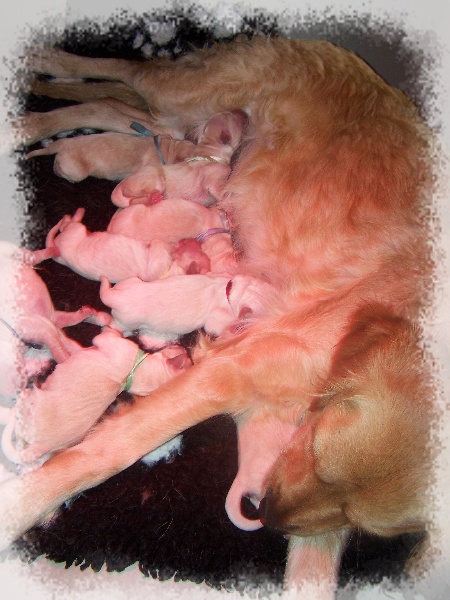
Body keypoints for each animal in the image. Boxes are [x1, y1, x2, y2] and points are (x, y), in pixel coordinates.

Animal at [0, 328, 190, 464]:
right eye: (188, 357)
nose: (184, 346)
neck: (132, 374)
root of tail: (41, 448)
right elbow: (79, 348)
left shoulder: (110, 344)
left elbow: (105, 336)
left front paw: (108, 327)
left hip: (30, 401)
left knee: (14, 413)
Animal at [44, 207, 210, 282]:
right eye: (201, 250)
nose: (195, 240)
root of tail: (58, 253)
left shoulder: (156, 265)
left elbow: (159, 245)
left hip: (74, 233)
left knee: (66, 224)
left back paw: (76, 213)